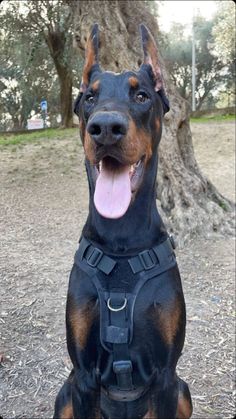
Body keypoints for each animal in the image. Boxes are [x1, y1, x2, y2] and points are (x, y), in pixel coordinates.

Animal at [54, 23, 193, 419]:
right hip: (65, 393)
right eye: (89, 98)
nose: (105, 128)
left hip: (183, 390)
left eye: (142, 95)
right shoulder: (84, 375)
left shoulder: (166, 375)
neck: (121, 240)